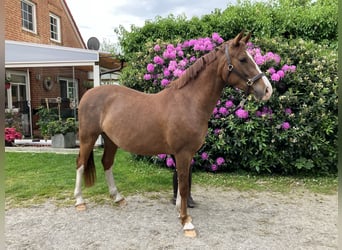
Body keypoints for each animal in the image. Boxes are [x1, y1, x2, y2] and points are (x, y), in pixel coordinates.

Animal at [74, 32, 272, 237]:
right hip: (88, 138)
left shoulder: (186, 153)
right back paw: (79, 201)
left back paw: (117, 197)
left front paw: (180, 212)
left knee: (107, 163)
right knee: (80, 163)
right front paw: (186, 222)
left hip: (111, 140)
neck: (189, 102)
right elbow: (183, 185)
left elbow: (182, 181)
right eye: (243, 59)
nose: (267, 90)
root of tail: (89, 94)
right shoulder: (183, 152)